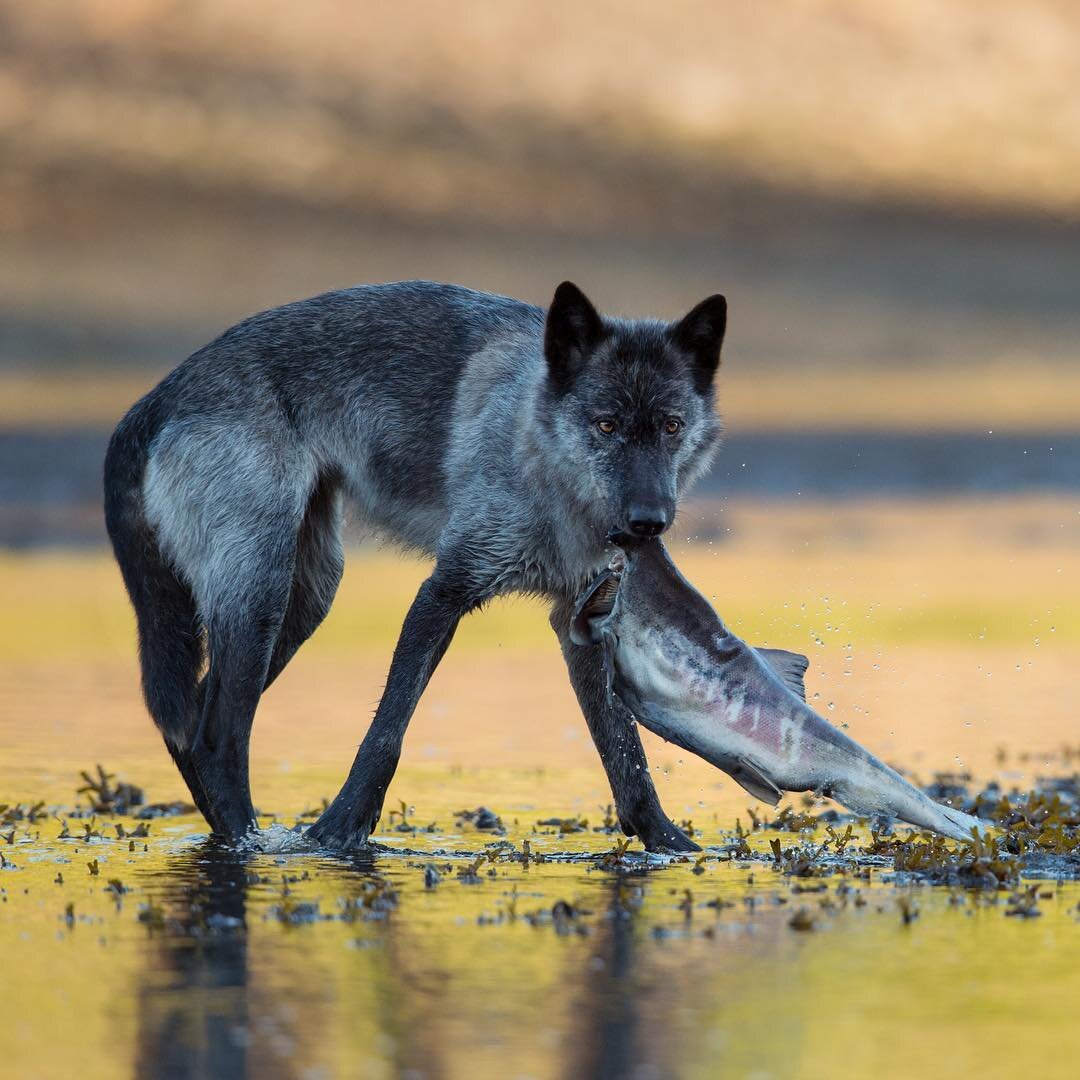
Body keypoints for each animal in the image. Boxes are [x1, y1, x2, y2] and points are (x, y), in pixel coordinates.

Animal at [103, 278, 725, 851]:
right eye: (606, 425)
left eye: (671, 426)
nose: (648, 520)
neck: (534, 453)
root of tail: (156, 398)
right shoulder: (443, 591)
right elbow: (386, 730)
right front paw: (338, 834)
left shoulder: (582, 620)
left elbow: (626, 756)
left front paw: (670, 846)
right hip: (263, 598)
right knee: (217, 737)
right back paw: (248, 850)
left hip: (306, 599)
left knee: (190, 729)